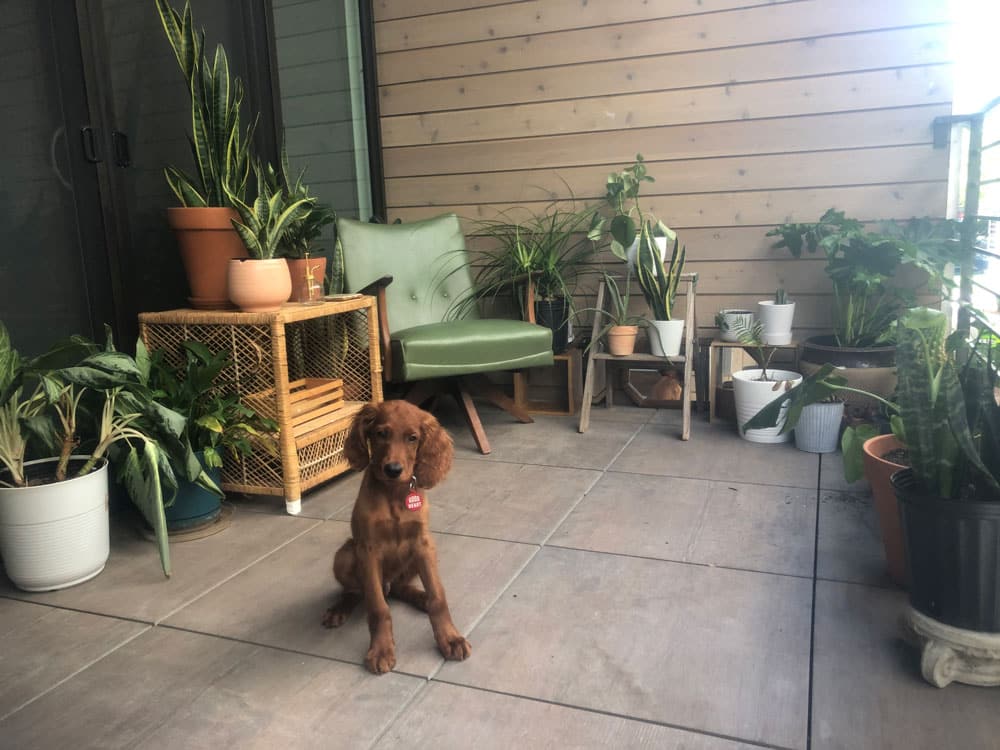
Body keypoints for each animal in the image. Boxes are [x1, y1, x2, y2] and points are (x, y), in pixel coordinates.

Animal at [322, 400, 471, 674]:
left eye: (413, 438)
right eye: (381, 433)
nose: (393, 469)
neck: (394, 493)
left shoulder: (423, 544)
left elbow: (438, 596)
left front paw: (450, 638)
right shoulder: (368, 550)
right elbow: (378, 607)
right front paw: (381, 650)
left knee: (402, 587)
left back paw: (421, 598)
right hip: (346, 554)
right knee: (357, 591)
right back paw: (339, 609)